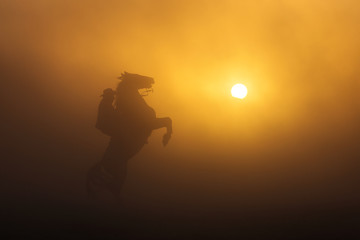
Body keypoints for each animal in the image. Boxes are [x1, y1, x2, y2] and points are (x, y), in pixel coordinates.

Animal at [87, 71, 172, 201]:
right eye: (136, 76)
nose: (152, 79)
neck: (135, 108)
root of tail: (102, 163)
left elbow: (168, 120)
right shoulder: (151, 124)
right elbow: (168, 120)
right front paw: (165, 139)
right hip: (118, 174)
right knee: (111, 188)